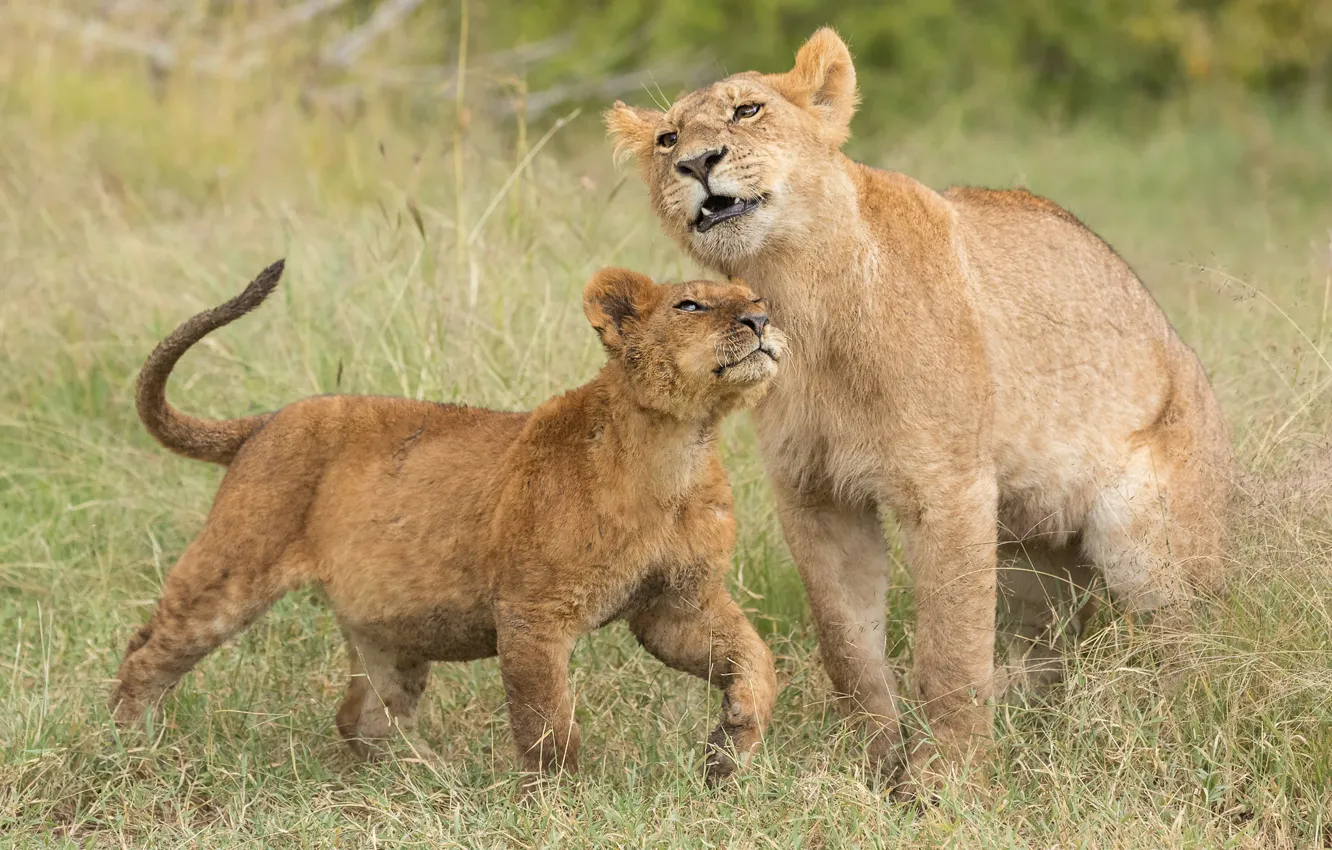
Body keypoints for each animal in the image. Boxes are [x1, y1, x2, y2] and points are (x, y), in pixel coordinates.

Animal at [110, 260, 785, 784]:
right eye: (690, 304)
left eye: (755, 300)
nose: (760, 322)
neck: (679, 447)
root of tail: (266, 420)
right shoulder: (532, 614)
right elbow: (547, 723)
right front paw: (563, 803)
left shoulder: (676, 605)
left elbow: (756, 660)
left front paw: (729, 752)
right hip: (231, 571)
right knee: (147, 653)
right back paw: (131, 752)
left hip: (389, 629)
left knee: (364, 718)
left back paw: (431, 778)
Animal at [606, 28, 1232, 793]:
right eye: (667, 138)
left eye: (747, 110)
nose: (697, 162)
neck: (802, 299)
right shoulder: (815, 497)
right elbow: (848, 646)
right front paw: (872, 769)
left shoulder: (948, 488)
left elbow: (950, 652)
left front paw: (947, 786)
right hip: (1028, 554)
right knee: (1046, 645)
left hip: (1148, 536)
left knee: (1190, 638)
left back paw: (1174, 727)